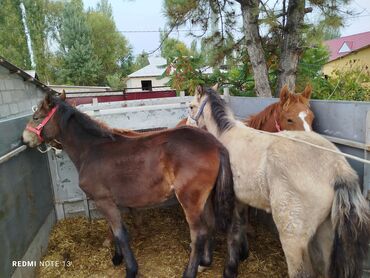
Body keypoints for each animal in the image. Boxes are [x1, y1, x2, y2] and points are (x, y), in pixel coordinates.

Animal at [22, 92, 234, 276]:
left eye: (36, 117)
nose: (24, 139)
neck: (91, 150)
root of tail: (215, 144)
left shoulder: (103, 200)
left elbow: (120, 234)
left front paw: (130, 269)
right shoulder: (108, 202)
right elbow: (113, 230)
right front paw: (117, 258)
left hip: (190, 199)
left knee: (198, 234)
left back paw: (189, 272)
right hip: (205, 198)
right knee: (210, 225)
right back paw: (205, 263)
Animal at [191, 87, 370, 278]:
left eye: (191, 106)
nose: (188, 124)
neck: (226, 134)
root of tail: (337, 167)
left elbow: (225, 228)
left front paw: (213, 265)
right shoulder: (241, 200)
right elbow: (240, 226)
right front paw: (241, 255)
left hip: (292, 238)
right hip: (326, 234)